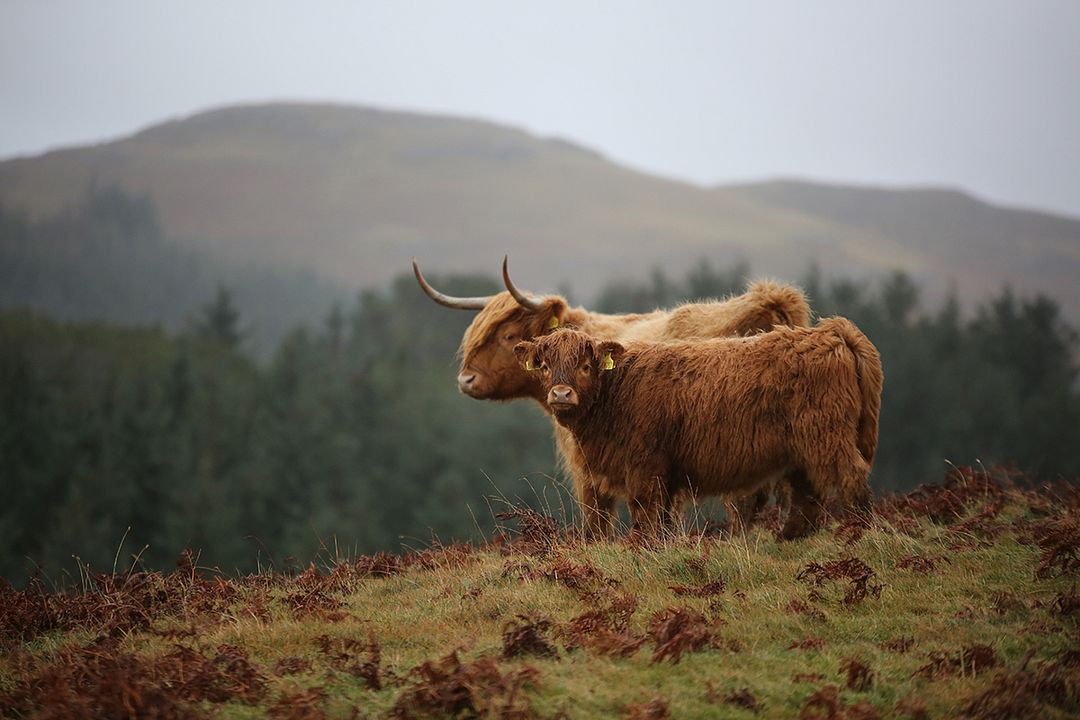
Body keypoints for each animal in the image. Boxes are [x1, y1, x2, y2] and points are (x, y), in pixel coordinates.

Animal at [412, 257, 812, 535]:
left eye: (509, 336)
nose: (466, 379)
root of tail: (767, 304)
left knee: (744, 507)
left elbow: (597, 524)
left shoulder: (588, 469)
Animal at [511, 321, 876, 539]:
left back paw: (860, 531)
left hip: (826, 436)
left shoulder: (644, 466)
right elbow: (662, 520)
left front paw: (639, 548)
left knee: (850, 477)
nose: (561, 394)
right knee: (807, 494)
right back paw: (790, 537)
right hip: (802, 450)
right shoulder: (666, 475)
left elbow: (644, 512)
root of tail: (828, 331)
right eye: (544, 366)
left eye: (586, 366)